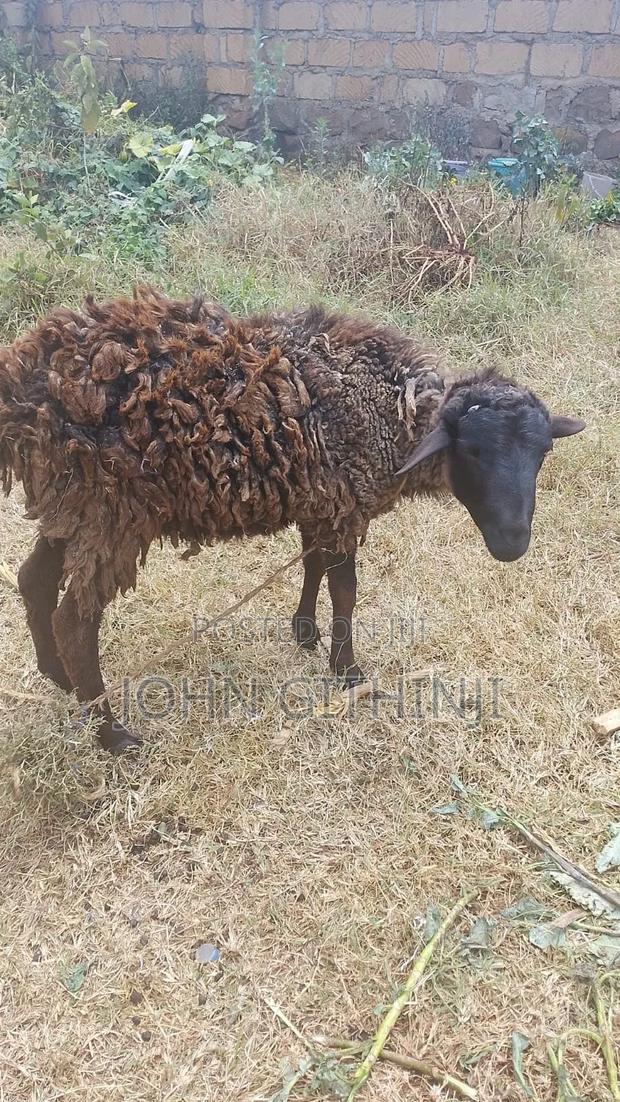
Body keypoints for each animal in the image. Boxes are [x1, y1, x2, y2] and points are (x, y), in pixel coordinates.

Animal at [0, 286, 585, 751]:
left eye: (541, 454)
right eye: (475, 453)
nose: (512, 543)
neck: (389, 411)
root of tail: (25, 389)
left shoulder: (319, 498)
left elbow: (312, 565)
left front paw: (305, 631)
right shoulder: (346, 501)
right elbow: (345, 588)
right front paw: (347, 670)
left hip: (70, 506)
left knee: (34, 581)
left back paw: (60, 680)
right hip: (110, 511)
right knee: (75, 621)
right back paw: (111, 732)